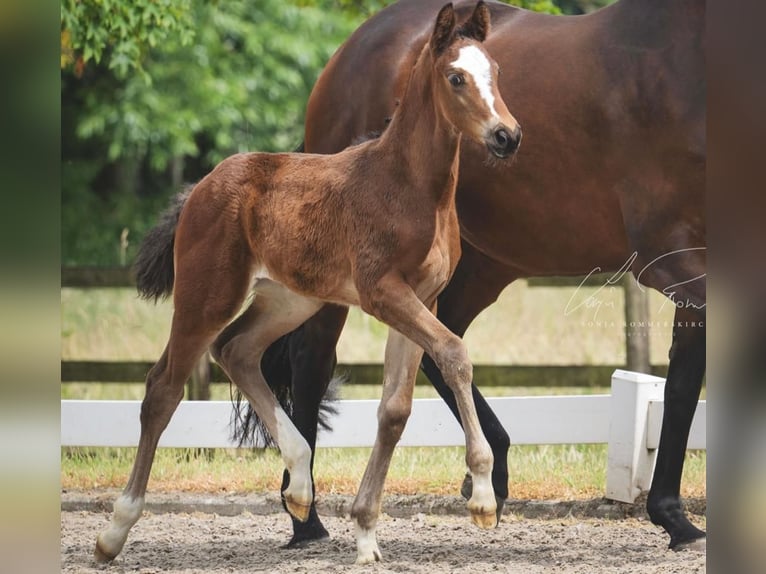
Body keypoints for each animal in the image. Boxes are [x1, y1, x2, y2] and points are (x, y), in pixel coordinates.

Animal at [93, 1, 520, 568]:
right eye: (456, 77)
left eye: (496, 72)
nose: (507, 136)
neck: (409, 187)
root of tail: (201, 186)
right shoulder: (383, 292)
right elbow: (453, 353)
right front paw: (483, 498)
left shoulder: (422, 297)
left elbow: (395, 410)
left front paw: (365, 533)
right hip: (207, 295)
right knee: (163, 387)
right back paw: (114, 532)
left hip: (290, 299)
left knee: (236, 350)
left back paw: (299, 487)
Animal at [258, 0, 708, 552]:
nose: (508, 137)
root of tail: (349, 52)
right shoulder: (671, 257)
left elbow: (683, 383)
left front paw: (675, 518)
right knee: (314, 360)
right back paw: (306, 519)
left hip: (477, 266)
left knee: (438, 343)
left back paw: (491, 475)